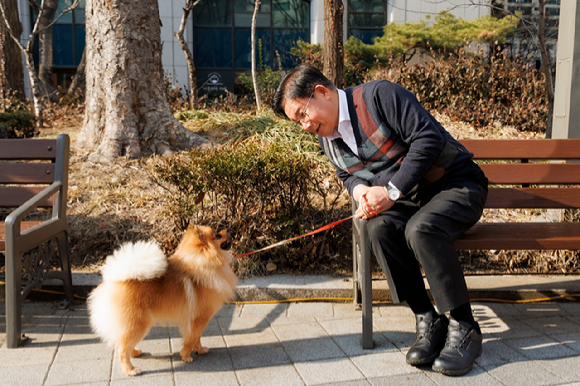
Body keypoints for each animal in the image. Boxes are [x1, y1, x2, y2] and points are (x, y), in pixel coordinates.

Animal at [87, 225, 237, 376]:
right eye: (217, 235)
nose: (228, 230)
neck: (204, 262)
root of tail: (116, 279)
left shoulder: (196, 320)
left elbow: (197, 338)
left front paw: (199, 350)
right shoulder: (199, 319)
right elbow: (192, 338)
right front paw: (186, 356)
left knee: (123, 344)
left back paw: (135, 352)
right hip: (136, 324)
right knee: (122, 351)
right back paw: (131, 370)